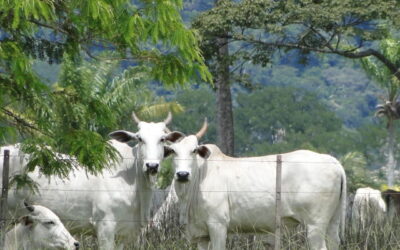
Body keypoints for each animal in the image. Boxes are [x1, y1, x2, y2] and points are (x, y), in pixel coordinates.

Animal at [163, 120, 346, 249]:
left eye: (194, 150)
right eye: (173, 151)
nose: (182, 175)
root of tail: (333, 161)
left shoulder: (218, 225)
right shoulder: (201, 234)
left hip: (315, 224)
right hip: (333, 221)